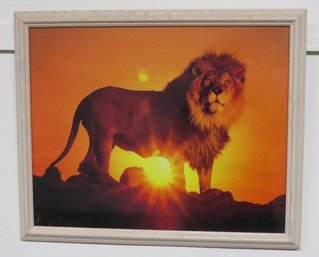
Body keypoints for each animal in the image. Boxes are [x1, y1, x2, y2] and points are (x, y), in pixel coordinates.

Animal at [48, 51, 248, 192]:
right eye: (207, 81)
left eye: (227, 82)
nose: (217, 90)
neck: (207, 119)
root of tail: (85, 98)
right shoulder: (175, 148)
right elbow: (180, 180)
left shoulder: (206, 154)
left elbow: (205, 184)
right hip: (103, 137)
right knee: (100, 167)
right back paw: (118, 185)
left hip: (102, 140)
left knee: (86, 164)